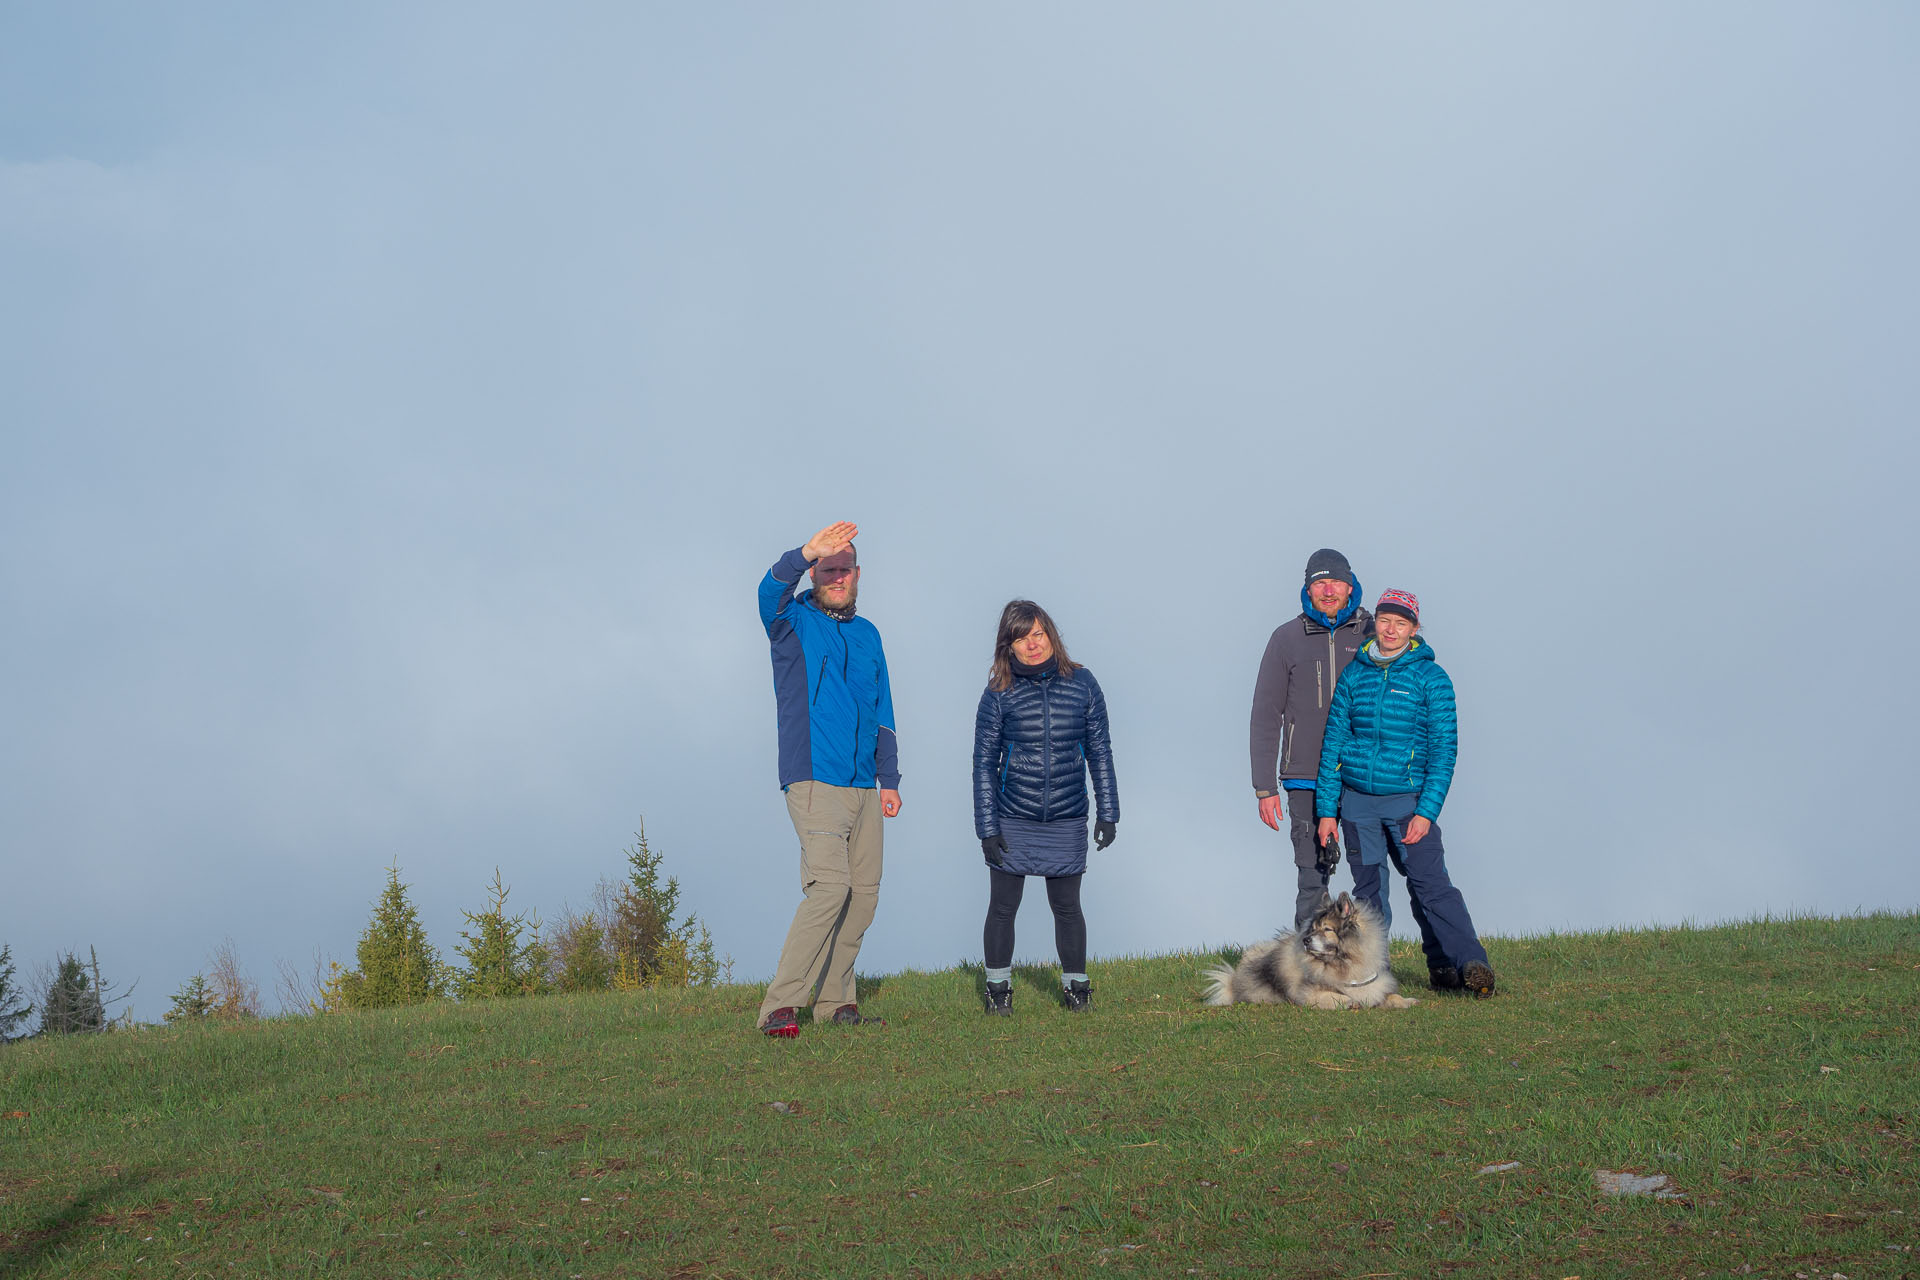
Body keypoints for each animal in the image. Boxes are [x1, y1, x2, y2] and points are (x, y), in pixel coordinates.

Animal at [1205, 890, 1420, 1013]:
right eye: (1313, 928)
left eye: (1327, 929)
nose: (1306, 940)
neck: (1346, 965)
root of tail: (1233, 979)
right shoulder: (1309, 993)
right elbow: (1335, 996)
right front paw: (1349, 1001)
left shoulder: (1374, 987)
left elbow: (1390, 996)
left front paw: (1407, 1001)